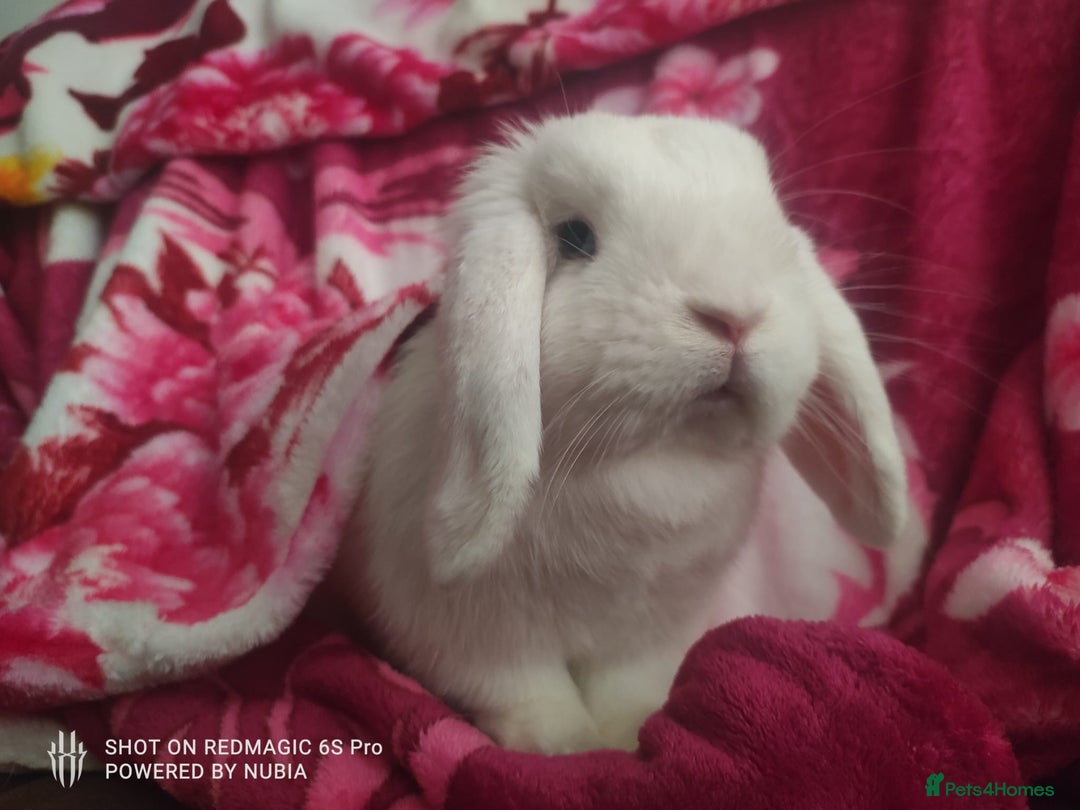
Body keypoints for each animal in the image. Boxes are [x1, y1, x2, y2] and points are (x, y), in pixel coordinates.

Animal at [327, 111, 909, 755]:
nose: (735, 315)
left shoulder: (648, 633)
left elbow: (629, 687)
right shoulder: (470, 637)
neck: (651, 466)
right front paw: (569, 749)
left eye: (775, 222)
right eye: (575, 237)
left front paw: (630, 734)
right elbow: (526, 693)